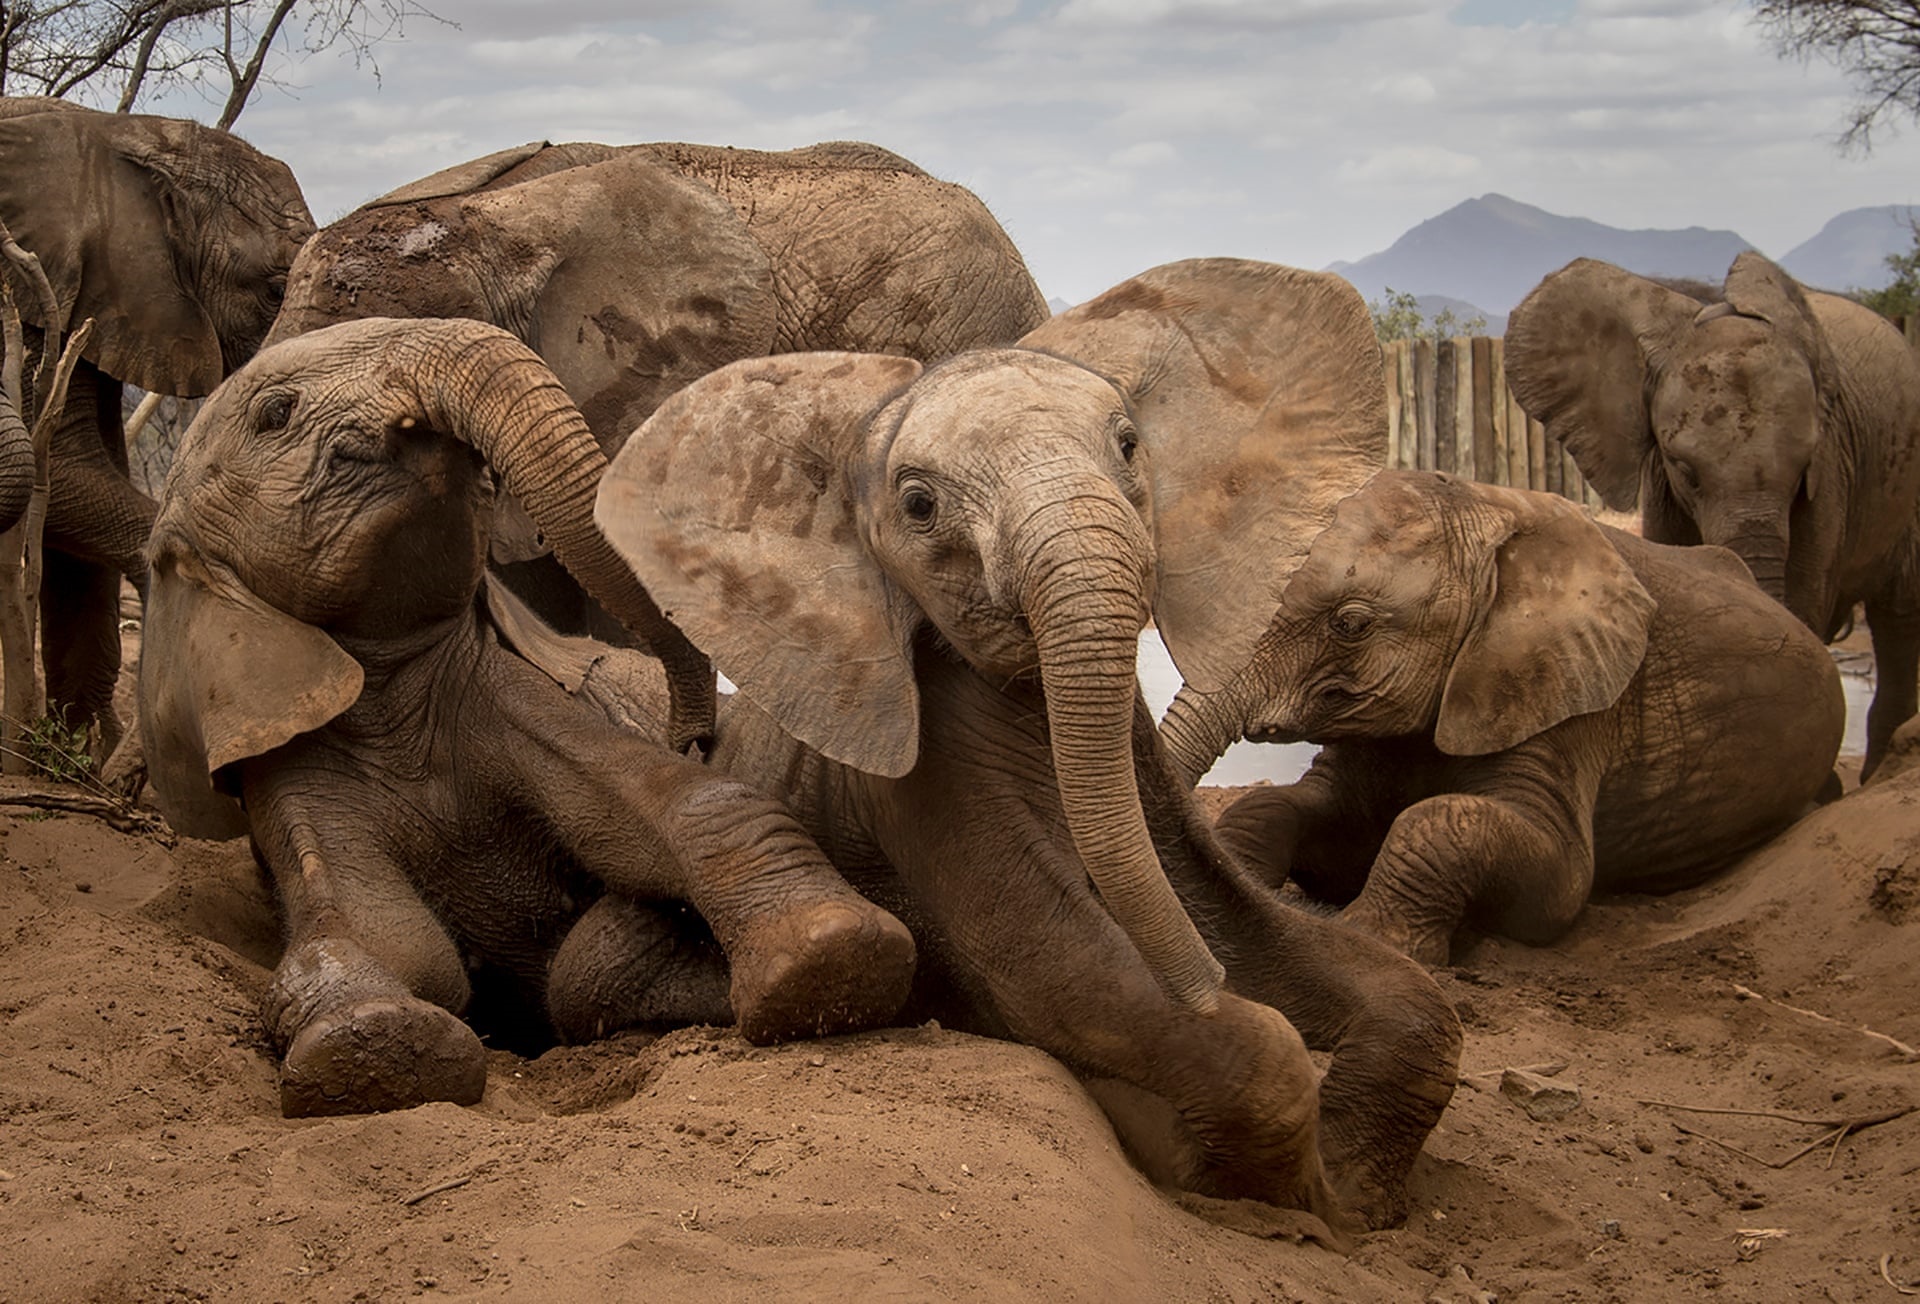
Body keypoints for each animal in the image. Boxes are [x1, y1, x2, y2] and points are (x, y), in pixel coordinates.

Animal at [0, 96, 314, 760]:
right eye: (275, 287)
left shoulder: (100, 300)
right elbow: (59, 474)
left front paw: (86, 753)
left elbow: (76, 489)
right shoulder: (33, 295)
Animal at [135, 316, 913, 1121]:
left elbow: (682, 807)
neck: (392, 685)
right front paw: (377, 1052)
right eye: (276, 413)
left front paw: (832, 962)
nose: (693, 735)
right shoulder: (287, 758)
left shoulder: (507, 698)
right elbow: (390, 935)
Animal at [591, 257, 1459, 1236]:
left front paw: (1356, 1188)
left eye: (1129, 446)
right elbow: (1056, 970)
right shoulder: (921, 787)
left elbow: (1339, 966)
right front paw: (1280, 1185)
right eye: (919, 506)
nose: (1205, 979)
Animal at [1152, 468, 1843, 967]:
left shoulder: (1568, 699)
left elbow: (1543, 873)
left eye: (1350, 624)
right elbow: (1285, 809)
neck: (1488, 515)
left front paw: (1377, 945)